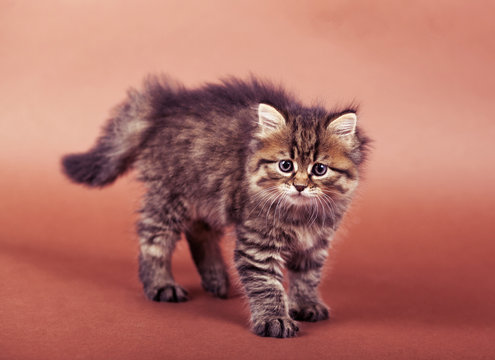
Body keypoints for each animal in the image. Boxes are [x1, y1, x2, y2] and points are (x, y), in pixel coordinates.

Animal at [62, 75, 370, 338]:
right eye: (286, 165)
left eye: (319, 169)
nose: (300, 186)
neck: (300, 215)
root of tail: (168, 104)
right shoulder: (258, 244)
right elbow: (267, 285)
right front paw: (274, 320)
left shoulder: (315, 243)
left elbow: (307, 277)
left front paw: (305, 304)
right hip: (170, 198)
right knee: (153, 241)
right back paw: (162, 285)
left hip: (210, 197)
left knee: (199, 232)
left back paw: (216, 282)